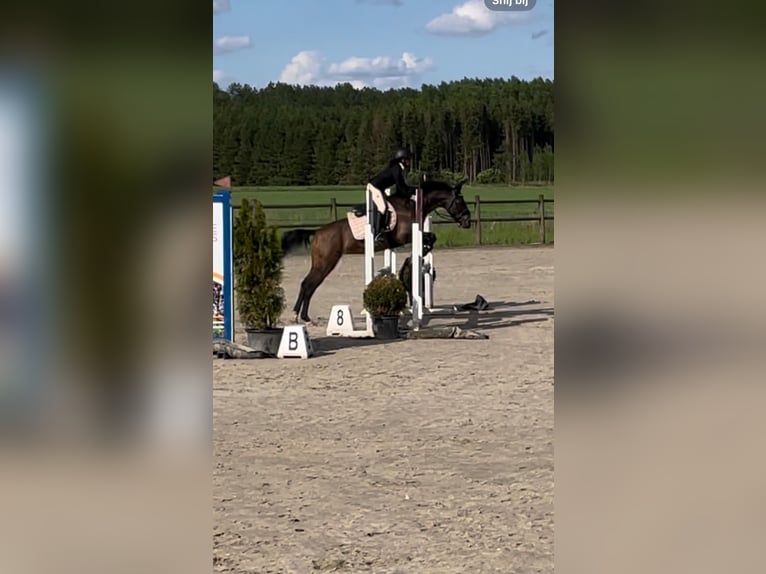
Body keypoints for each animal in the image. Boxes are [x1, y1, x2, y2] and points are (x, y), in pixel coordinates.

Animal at [284, 180, 474, 324]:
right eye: (460, 201)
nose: (467, 221)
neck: (412, 207)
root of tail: (317, 232)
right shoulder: (406, 236)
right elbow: (430, 237)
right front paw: (424, 250)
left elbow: (431, 237)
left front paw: (424, 251)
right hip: (326, 263)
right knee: (308, 284)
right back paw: (299, 316)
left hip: (322, 263)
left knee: (308, 285)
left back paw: (302, 316)